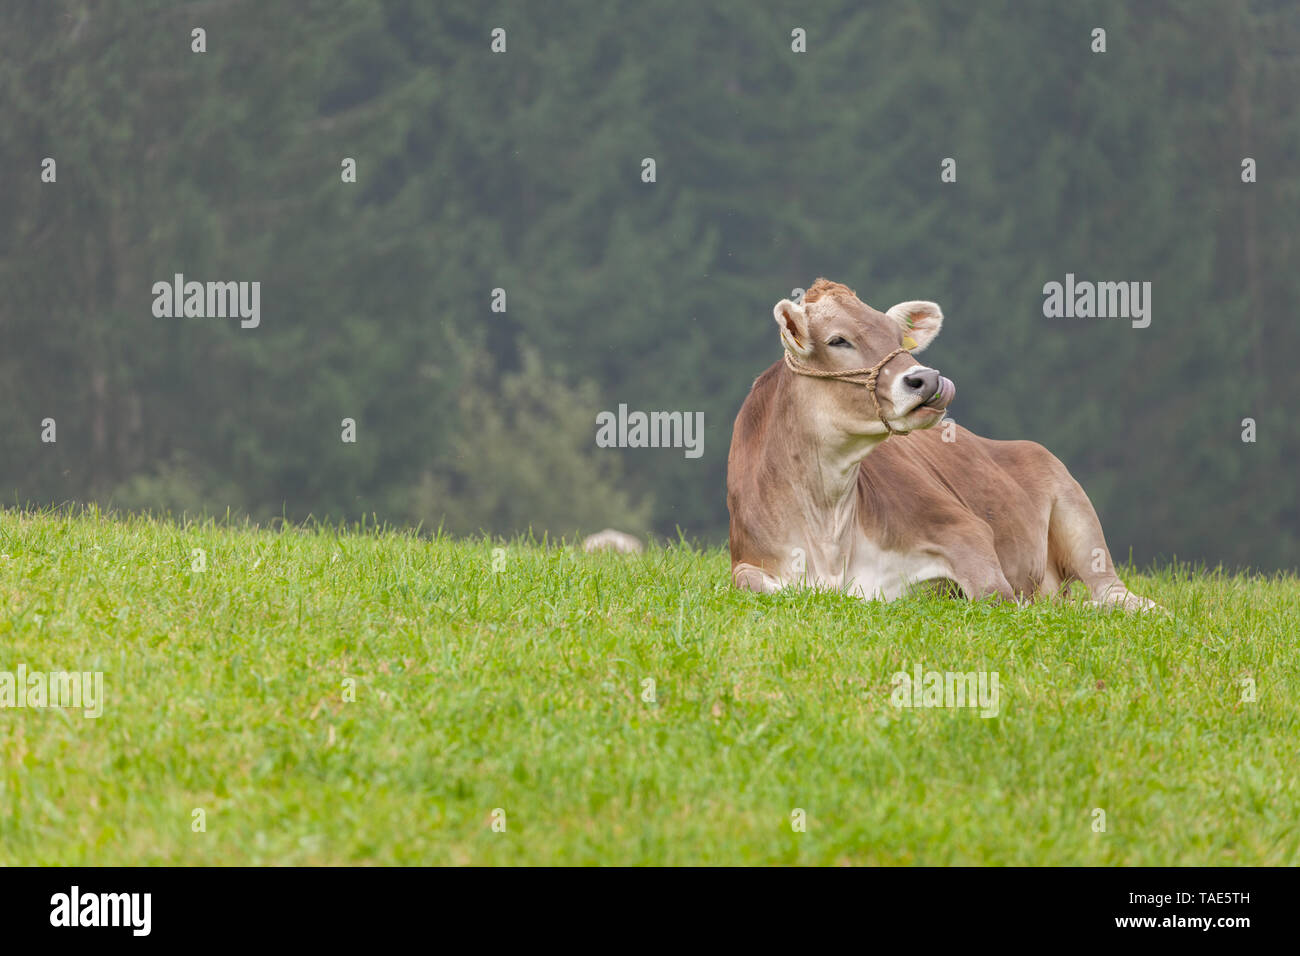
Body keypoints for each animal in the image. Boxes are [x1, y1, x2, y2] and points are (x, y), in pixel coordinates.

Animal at [726, 278, 1158, 611]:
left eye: (898, 338)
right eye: (838, 340)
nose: (928, 379)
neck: (828, 531)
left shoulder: (965, 529)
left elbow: (994, 594)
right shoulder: (747, 560)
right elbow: (749, 581)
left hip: (1075, 508)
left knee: (1110, 590)